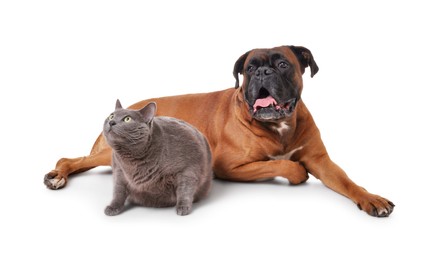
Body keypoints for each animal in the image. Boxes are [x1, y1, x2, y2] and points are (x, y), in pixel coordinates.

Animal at [45, 45, 396, 217]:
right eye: (249, 68)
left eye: (283, 64)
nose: (263, 72)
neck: (278, 126)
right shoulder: (229, 165)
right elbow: (284, 165)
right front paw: (296, 172)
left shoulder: (322, 161)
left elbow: (348, 182)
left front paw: (372, 199)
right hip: (108, 153)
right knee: (70, 159)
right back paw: (57, 175)